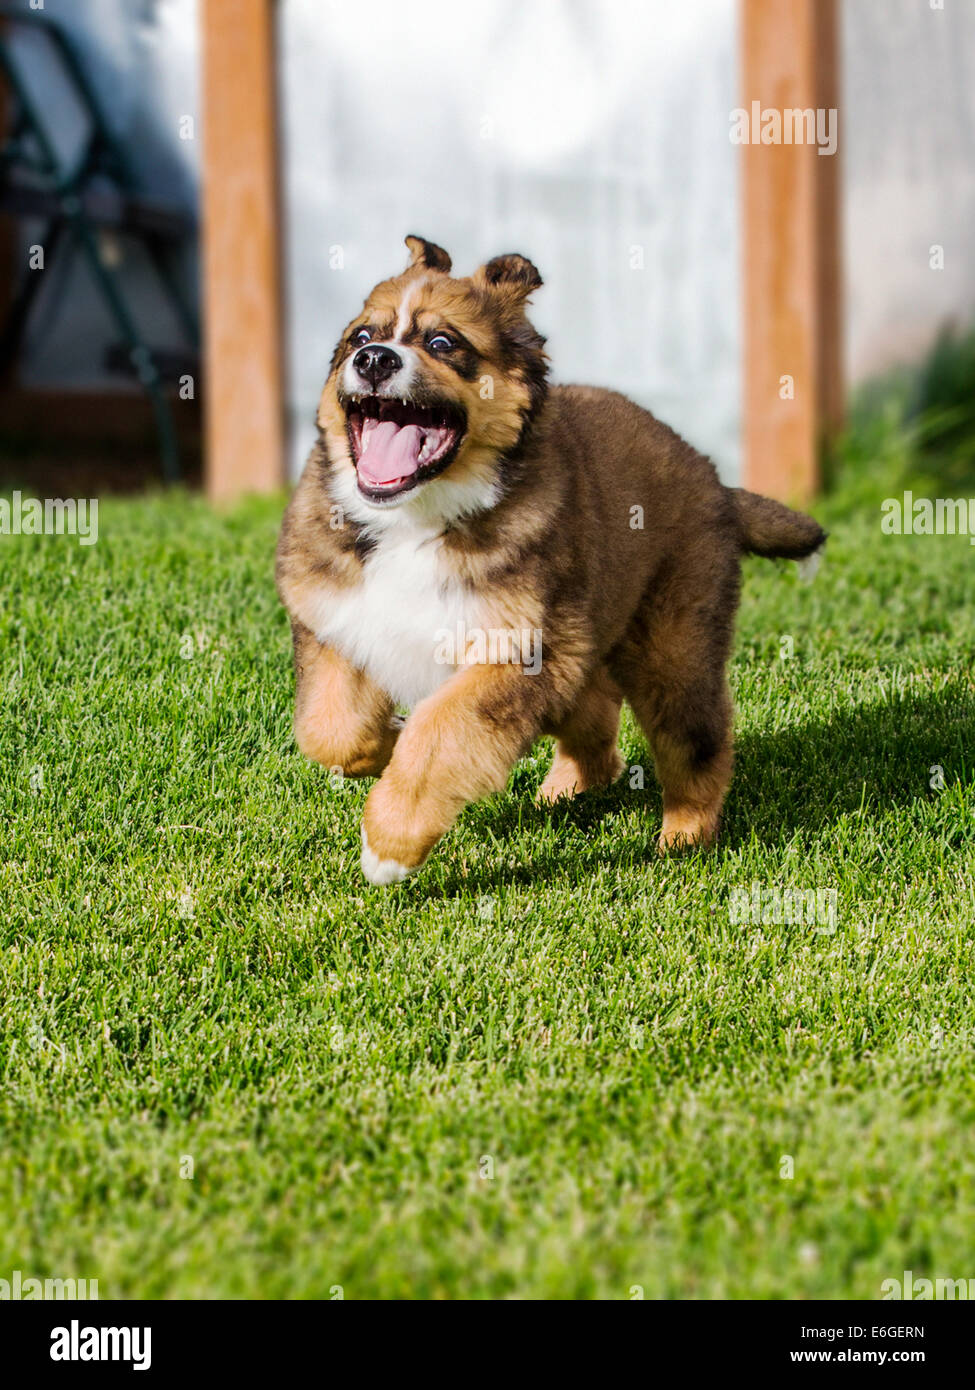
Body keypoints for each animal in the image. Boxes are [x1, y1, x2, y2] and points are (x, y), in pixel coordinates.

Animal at [274, 234, 823, 884]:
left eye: (442, 344)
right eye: (361, 336)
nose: (374, 360)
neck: (417, 519)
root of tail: (715, 479)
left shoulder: (520, 650)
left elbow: (439, 730)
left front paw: (389, 846)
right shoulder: (335, 618)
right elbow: (328, 729)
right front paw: (384, 744)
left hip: (673, 650)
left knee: (696, 743)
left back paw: (683, 838)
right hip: (583, 654)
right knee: (595, 721)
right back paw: (566, 792)